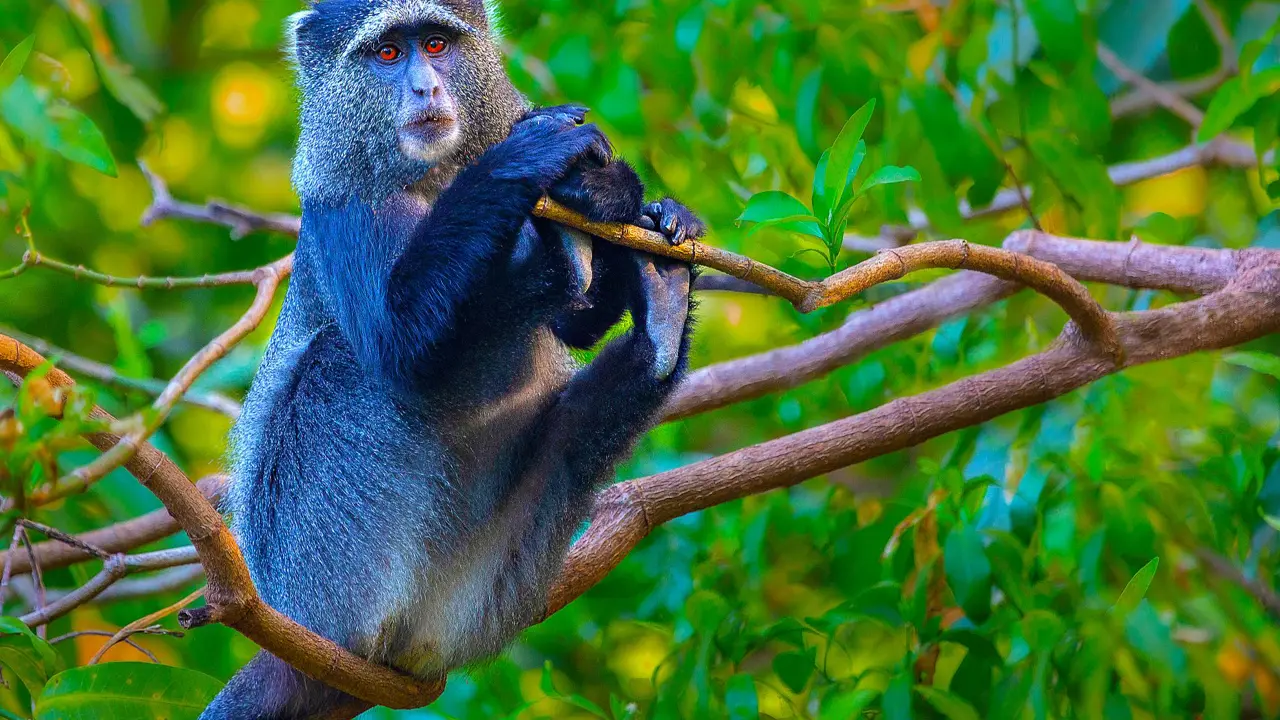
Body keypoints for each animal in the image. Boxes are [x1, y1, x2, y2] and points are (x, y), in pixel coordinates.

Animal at [198, 1, 705, 718]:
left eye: (436, 45)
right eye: (387, 54)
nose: (425, 89)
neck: (436, 176)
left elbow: (576, 324)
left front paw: (609, 191)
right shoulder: (342, 204)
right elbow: (401, 346)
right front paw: (528, 158)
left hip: (482, 585)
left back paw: (659, 309)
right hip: (317, 579)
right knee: (340, 363)